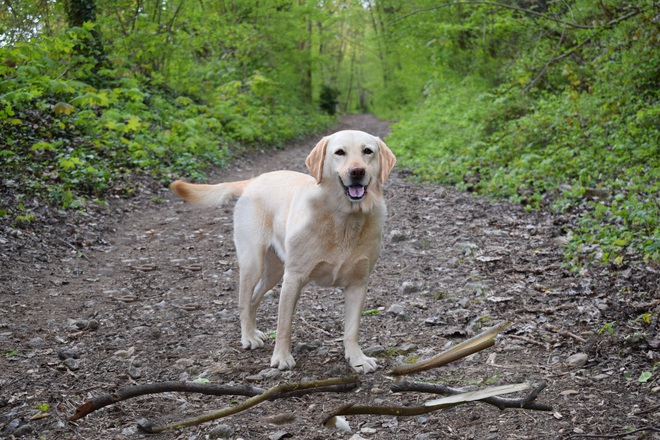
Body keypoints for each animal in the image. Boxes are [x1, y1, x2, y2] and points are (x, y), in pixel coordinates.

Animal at [171, 130, 398, 372]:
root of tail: (255, 179)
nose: (357, 172)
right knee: (244, 302)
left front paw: (357, 359)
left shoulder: (358, 283)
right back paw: (248, 337)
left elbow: (352, 329)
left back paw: (253, 332)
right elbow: (284, 325)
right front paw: (281, 357)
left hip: (275, 271)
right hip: (254, 263)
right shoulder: (293, 279)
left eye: (368, 151)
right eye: (340, 152)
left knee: (254, 300)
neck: (343, 218)